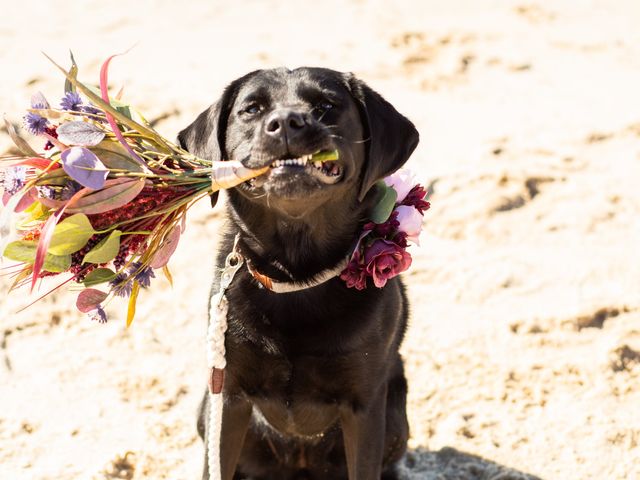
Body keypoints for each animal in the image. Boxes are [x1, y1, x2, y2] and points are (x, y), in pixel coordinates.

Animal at [180, 65, 420, 478]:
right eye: (252, 109)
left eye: (326, 105)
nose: (286, 122)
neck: (295, 276)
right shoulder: (228, 396)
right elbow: (216, 466)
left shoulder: (365, 406)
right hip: (205, 409)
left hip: (395, 415)